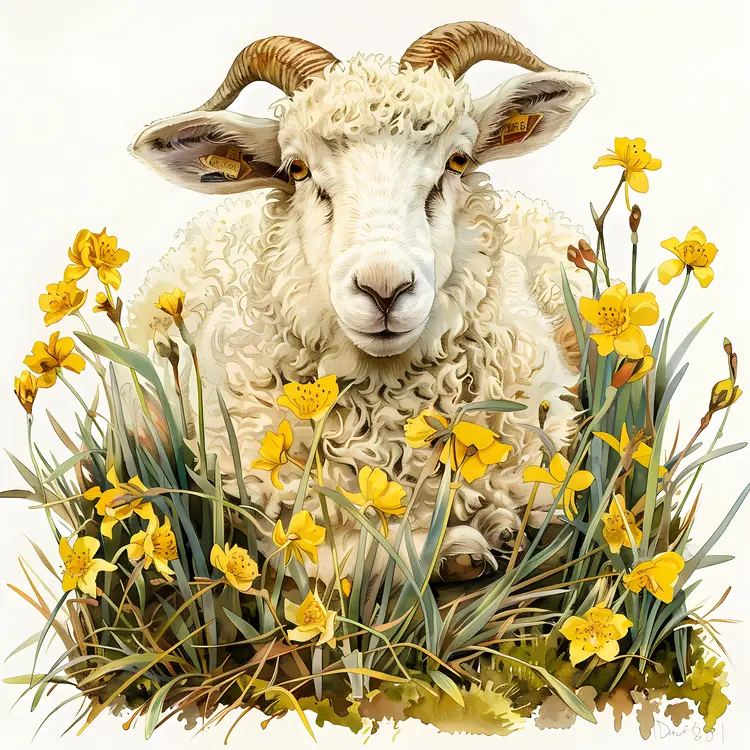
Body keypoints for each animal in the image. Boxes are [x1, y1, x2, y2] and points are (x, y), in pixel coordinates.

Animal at [126, 22, 594, 582]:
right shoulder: (274, 517)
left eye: (458, 160)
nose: (384, 289)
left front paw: (492, 532)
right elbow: (363, 556)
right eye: (296, 169)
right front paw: (458, 548)